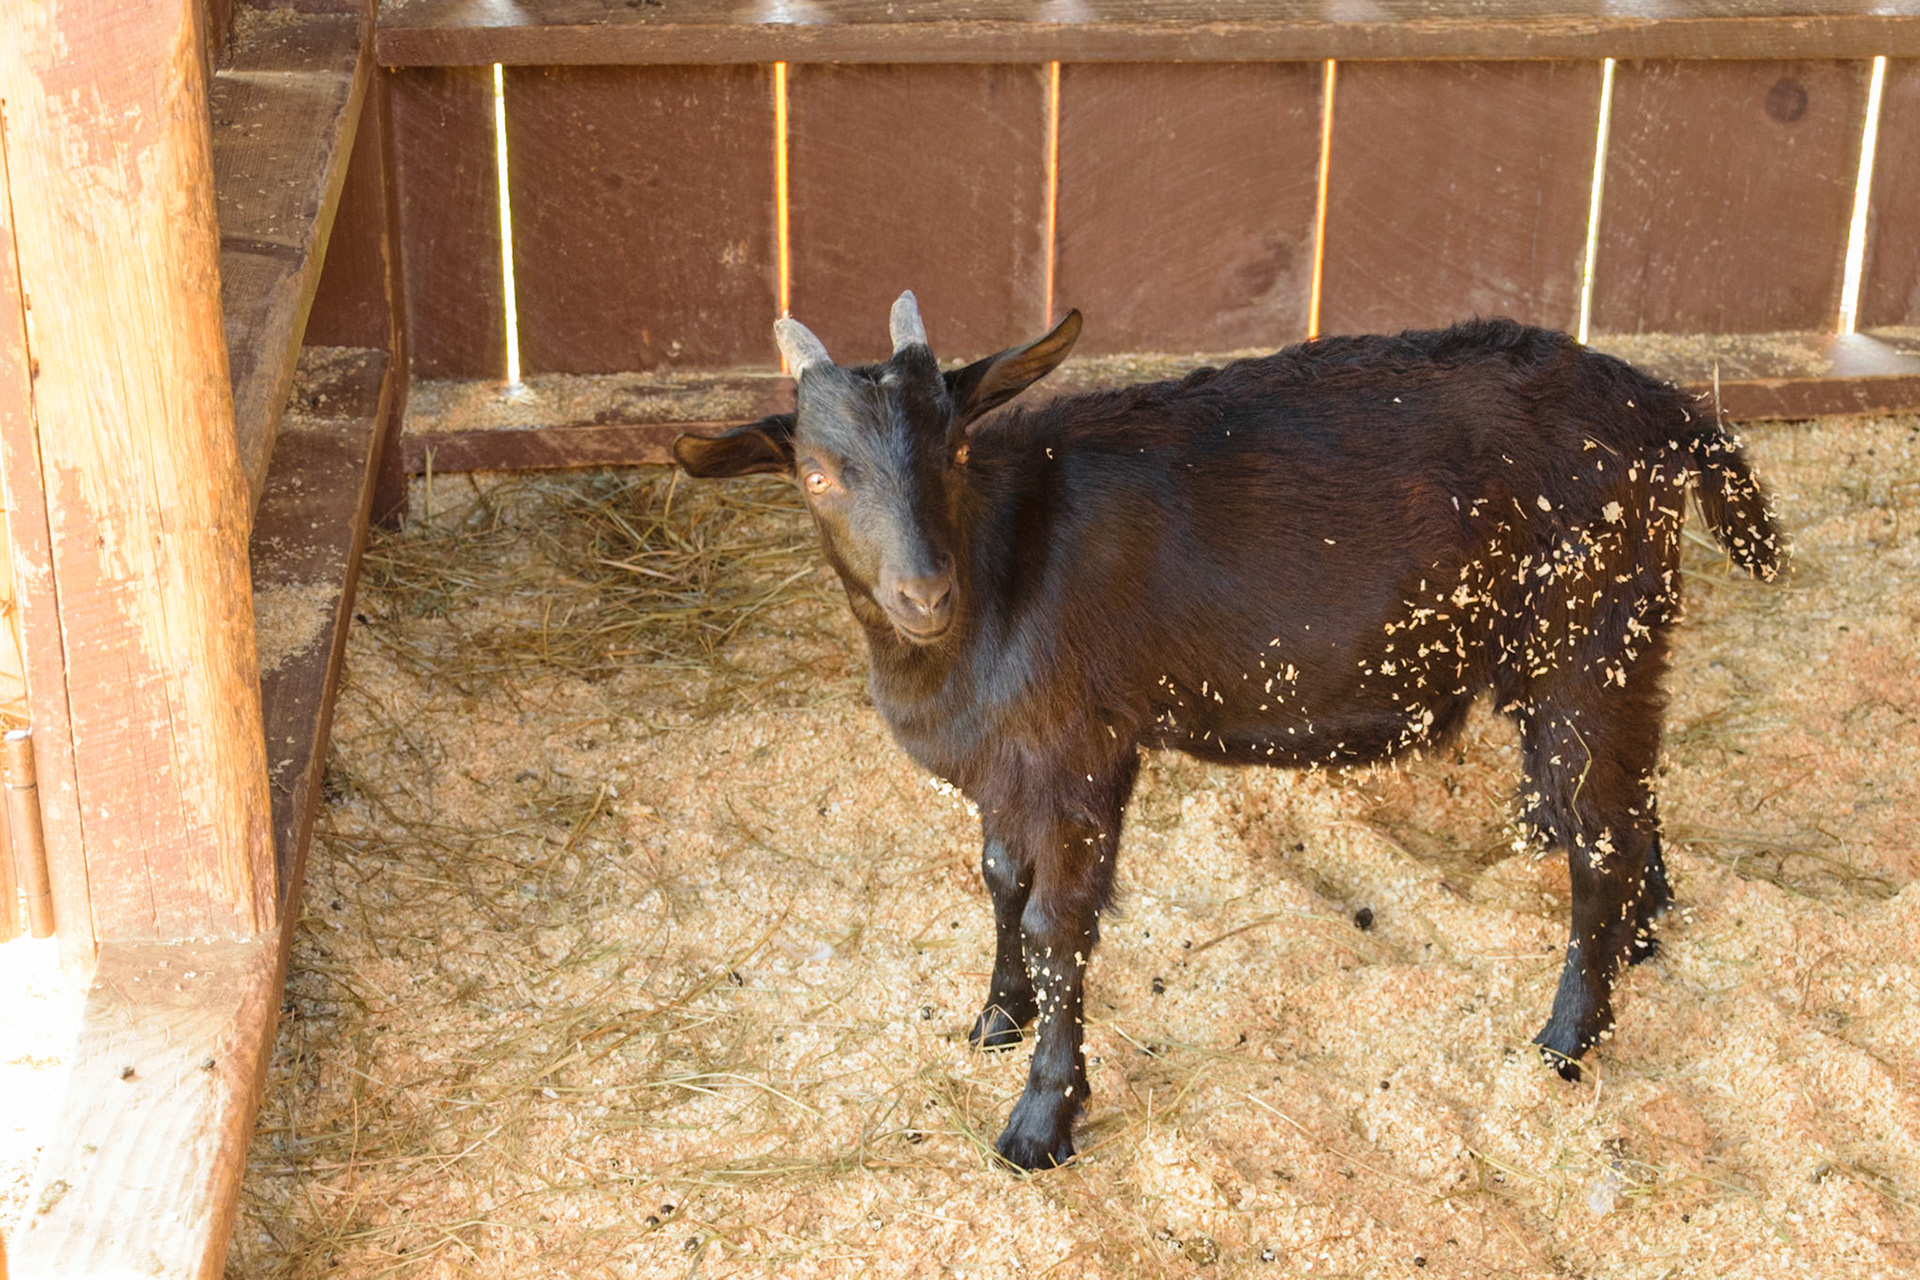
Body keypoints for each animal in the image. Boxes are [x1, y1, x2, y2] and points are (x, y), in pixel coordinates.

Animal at [674, 293, 1783, 1171]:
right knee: (1629, 804)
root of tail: (1668, 410)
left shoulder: (1079, 747)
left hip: (1588, 637)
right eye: (817, 474)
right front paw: (995, 1015)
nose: (922, 592)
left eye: (952, 448)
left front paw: (1041, 1119)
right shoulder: (1008, 760)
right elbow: (999, 876)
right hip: (1608, 648)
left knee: (1598, 836)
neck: (997, 564)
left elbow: (1056, 923)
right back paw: (1639, 941)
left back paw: (1565, 1036)